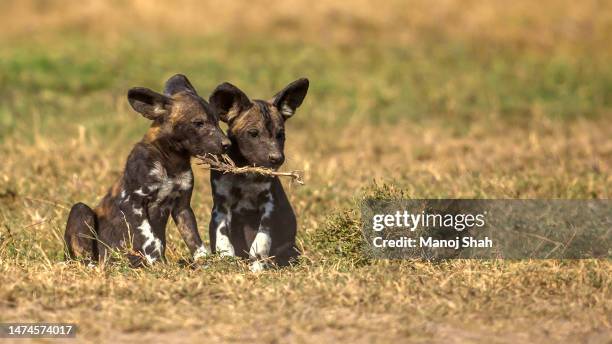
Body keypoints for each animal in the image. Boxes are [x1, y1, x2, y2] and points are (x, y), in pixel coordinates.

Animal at [64, 74, 231, 264]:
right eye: (199, 123)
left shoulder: (182, 207)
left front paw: (204, 261)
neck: (170, 161)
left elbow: (194, 238)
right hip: (80, 210)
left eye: (217, 122)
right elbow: (151, 239)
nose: (227, 145)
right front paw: (156, 263)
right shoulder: (134, 203)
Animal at [208, 77, 308, 272]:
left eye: (280, 135)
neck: (245, 174)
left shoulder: (268, 205)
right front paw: (228, 262)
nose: (277, 158)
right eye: (253, 133)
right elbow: (223, 240)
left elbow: (261, 241)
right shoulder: (221, 207)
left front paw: (257, 267)